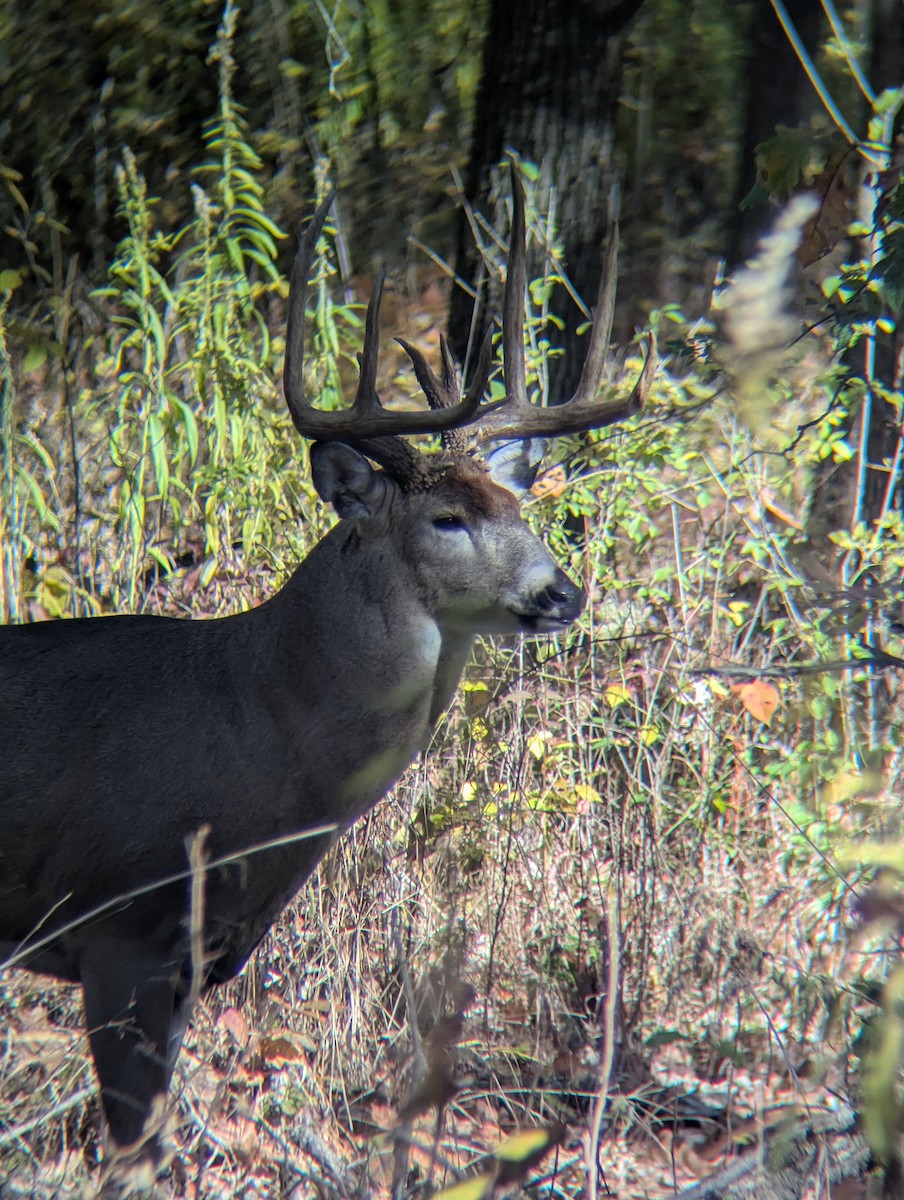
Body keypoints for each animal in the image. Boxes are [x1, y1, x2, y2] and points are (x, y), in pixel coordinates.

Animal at [0, 166, 653, 1162]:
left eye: (518, 504)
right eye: (447, 519)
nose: (562, 593)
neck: (249, 725)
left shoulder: (195, 958)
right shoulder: (120, 929)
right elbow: (134, 1153)